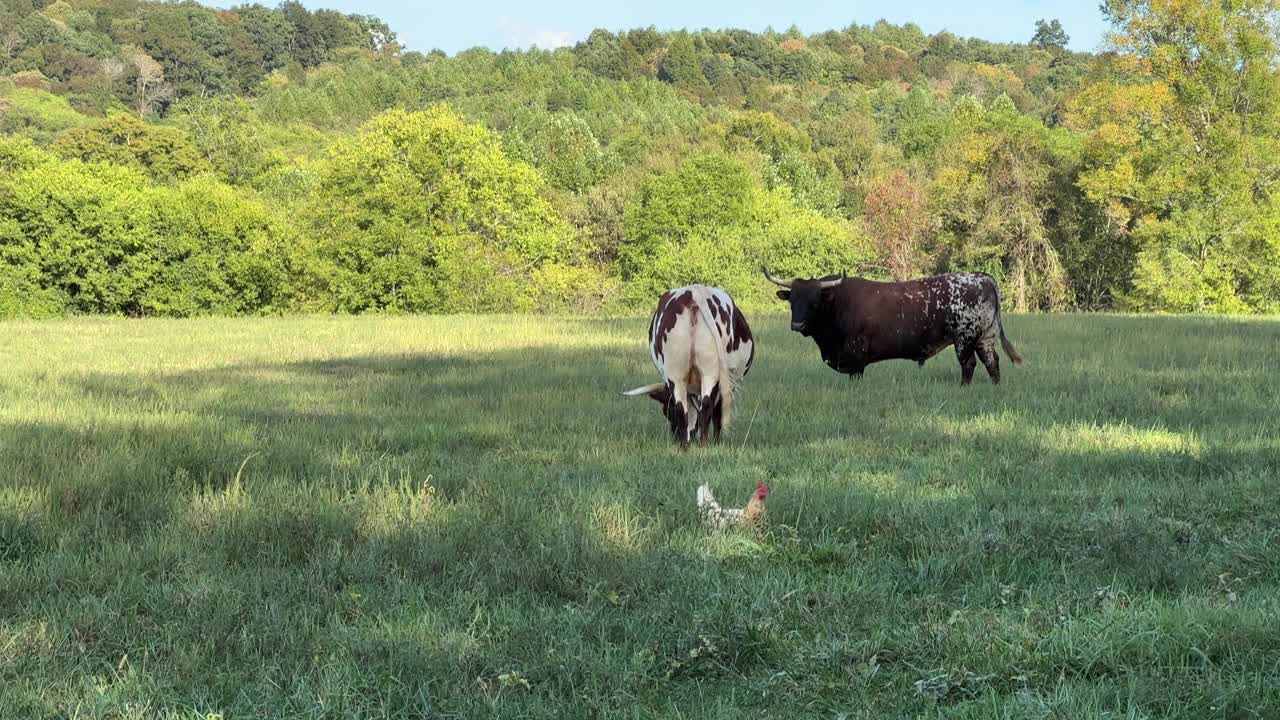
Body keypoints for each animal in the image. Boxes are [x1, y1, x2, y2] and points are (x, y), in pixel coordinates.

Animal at [624, 284, 752, 443]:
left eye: (666, 412)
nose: (674, 436)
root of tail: (694, 291)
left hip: (679, 373)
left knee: (686, 408)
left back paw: (686, 445)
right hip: (708, 373)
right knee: (704, 407)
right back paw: (702, 444)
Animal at [762, 266, 1024, 384]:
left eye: (814, 302)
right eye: (793, 300)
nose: (797, 324)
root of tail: (982, 276)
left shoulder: (856, 357)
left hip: (964, 338)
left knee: (969, 364)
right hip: (984, 338)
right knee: (992, 362)